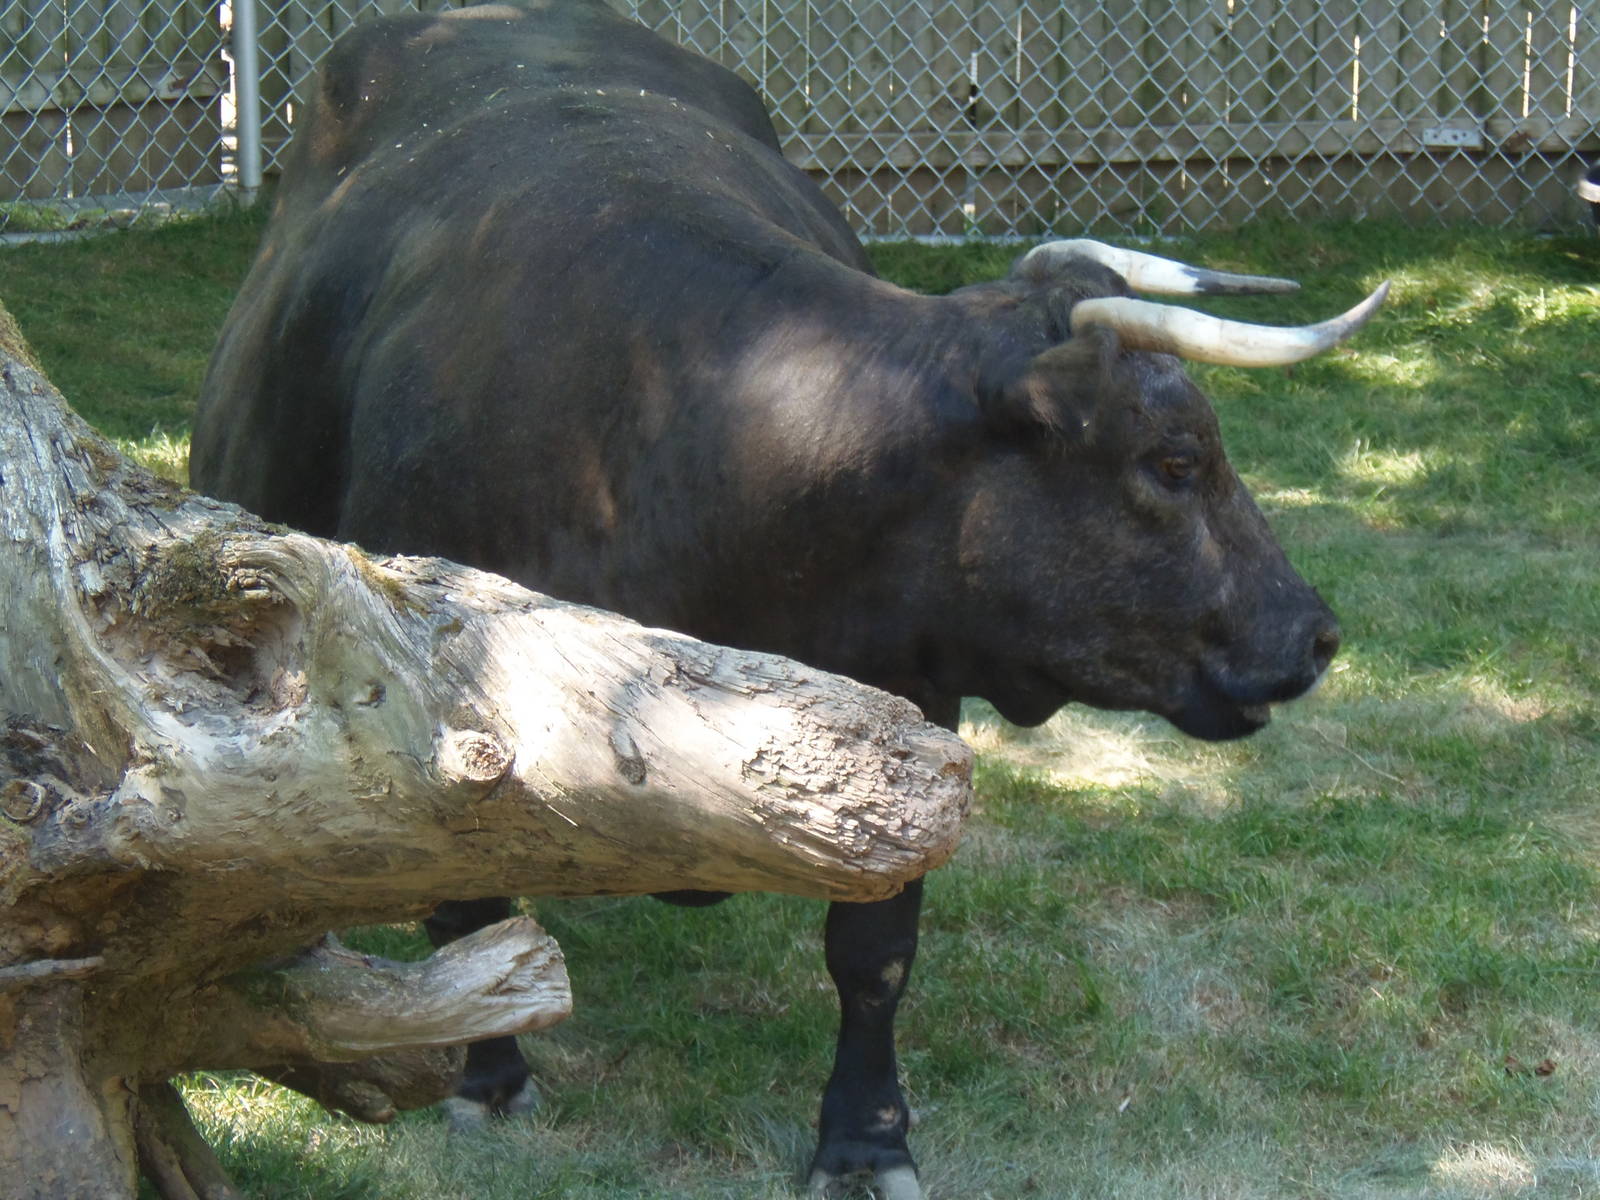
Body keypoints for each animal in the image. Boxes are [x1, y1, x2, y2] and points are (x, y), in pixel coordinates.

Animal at [189, 2, 1386, 1195]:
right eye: (1173, 461)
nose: (1316, 635)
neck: (675, 438)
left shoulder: (911, 706)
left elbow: (875, 951)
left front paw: (866, 1135)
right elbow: (468, 915)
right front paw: (487, 1076)